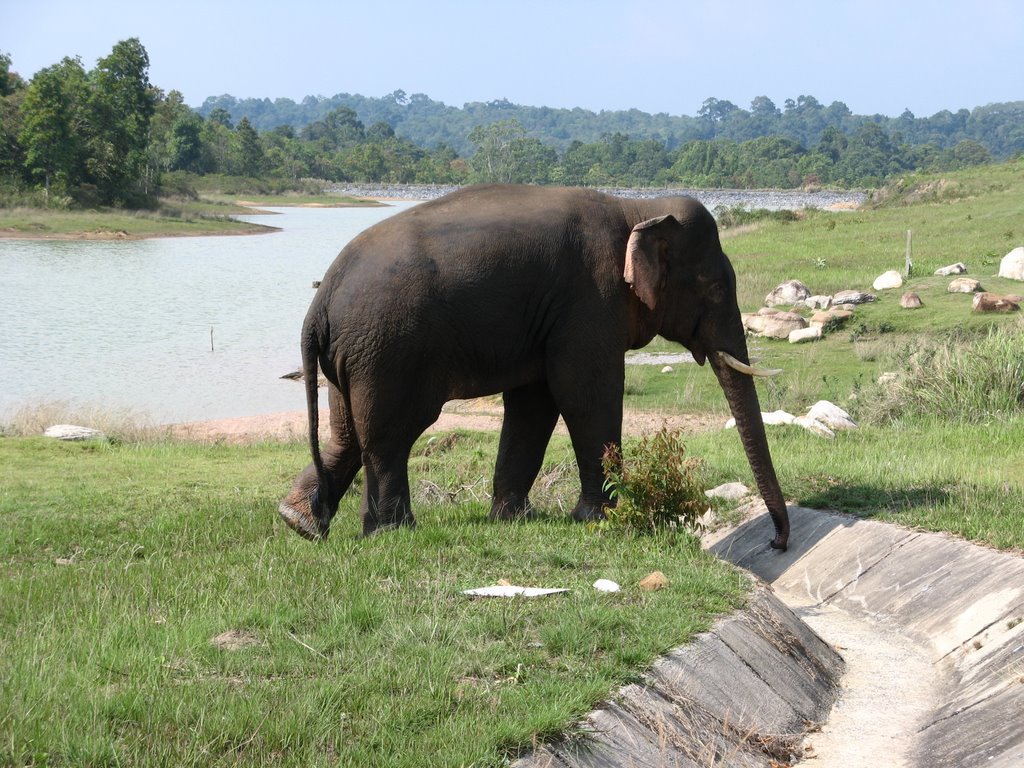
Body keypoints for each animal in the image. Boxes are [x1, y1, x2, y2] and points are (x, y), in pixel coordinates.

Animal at [278, 183, 790, 548]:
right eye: (714, 287)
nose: (776, 543)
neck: (637, 208)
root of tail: (320, 301)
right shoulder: (591, 299)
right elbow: (584, 392)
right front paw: (601, 518)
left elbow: (535, 402)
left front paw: (513, 518)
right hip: (389, 349)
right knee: (389, 435)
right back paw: (392, 533)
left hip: (357, 354)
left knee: (347, 432)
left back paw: (300, 521)